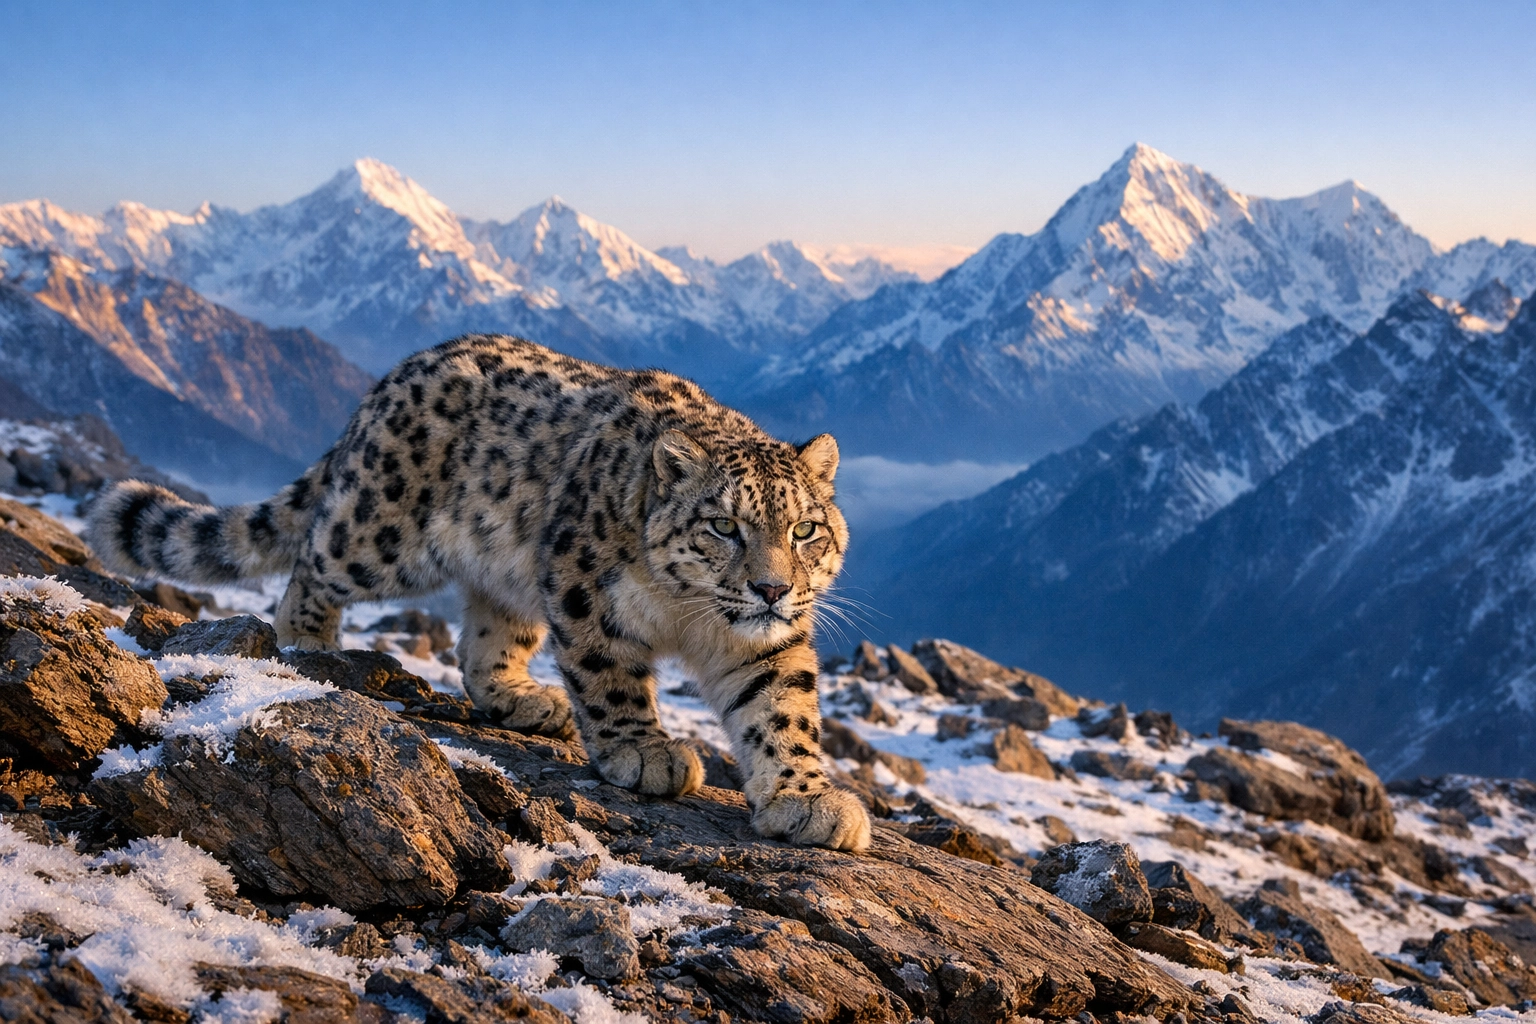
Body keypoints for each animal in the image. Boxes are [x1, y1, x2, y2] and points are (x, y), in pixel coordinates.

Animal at [88, 333, 871, 852]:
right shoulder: (587, 592)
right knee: (314, 555)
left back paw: (523, 699)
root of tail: (399, 371)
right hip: (381, 534)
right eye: (723, 525)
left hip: (505, 575)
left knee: (485, 640)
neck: (691, 618)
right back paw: (308, 639)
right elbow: (610, 676)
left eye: (804, 529)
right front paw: (645, 752)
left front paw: (807, 799)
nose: (771, 588)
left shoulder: (766, 645)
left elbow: (782, 708)